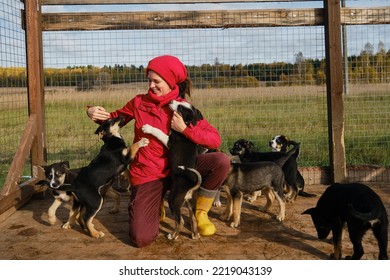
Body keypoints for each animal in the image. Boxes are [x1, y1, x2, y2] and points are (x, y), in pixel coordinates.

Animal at [143, 100, 204, 241]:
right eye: (181, 102)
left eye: (180, 108)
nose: (171, 101)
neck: (186, 126)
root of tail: (192, 185)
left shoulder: (169, 141)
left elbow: (159, 132)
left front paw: (147, 128)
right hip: (191, 202)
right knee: (193, 219)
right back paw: (195, 235)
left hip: (173, 200)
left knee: (180, 221)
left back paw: (172, 236)